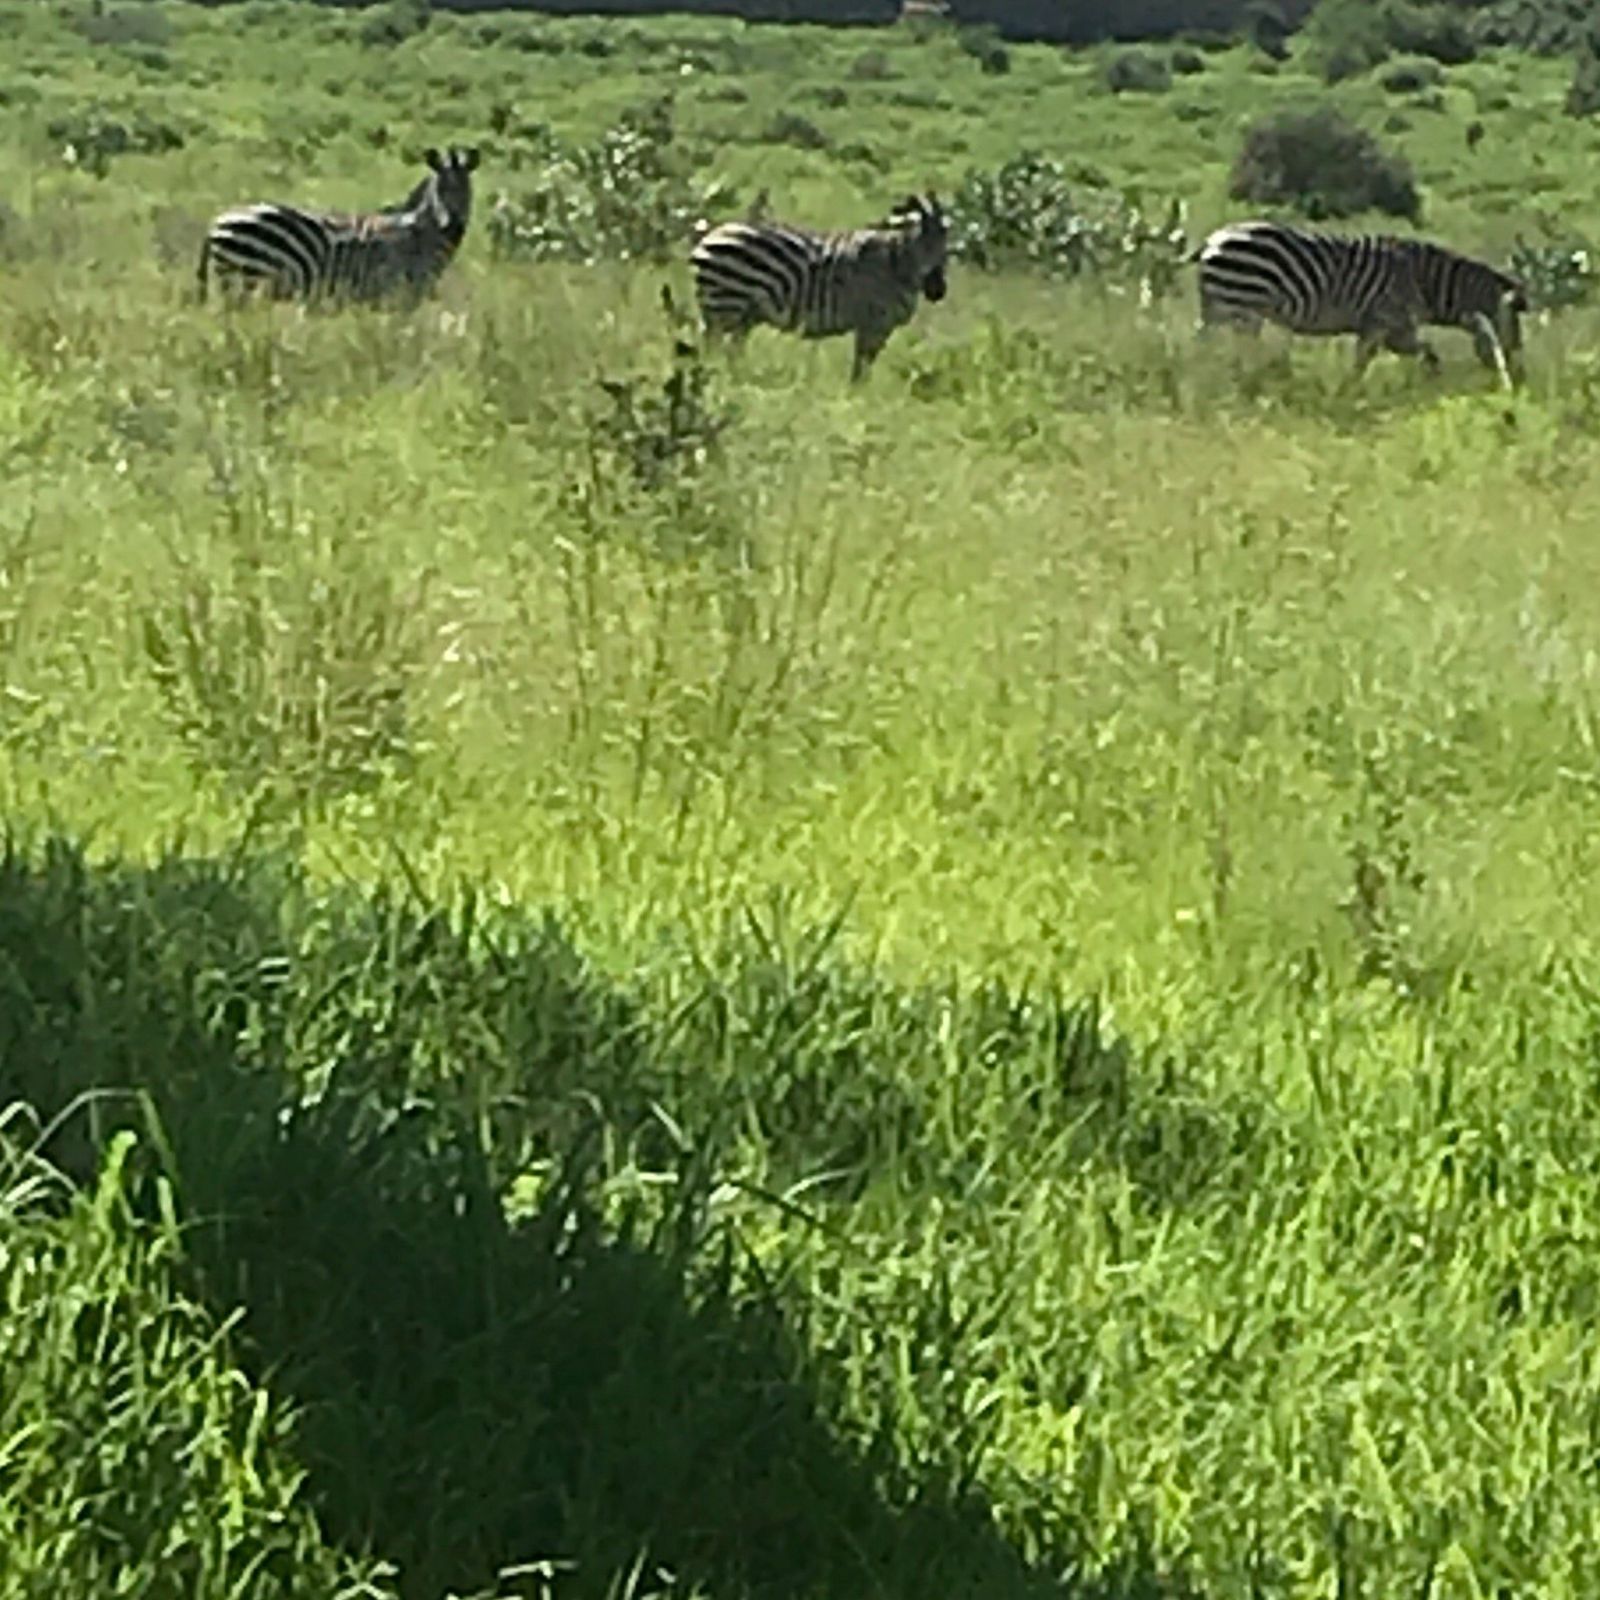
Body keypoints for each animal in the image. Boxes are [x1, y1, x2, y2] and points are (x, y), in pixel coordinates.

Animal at [197, 146, 480, 307]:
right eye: (440, 189)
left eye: (466, 189)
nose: (453, 222)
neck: (421, 234)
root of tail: (216, 222)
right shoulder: (395, 294)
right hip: (247, 278)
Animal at [689, 193, 948, 381]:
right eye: (925, 245)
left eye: (947, 247)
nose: (938, 291)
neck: (897, 264)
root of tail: (711, 233)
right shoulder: (873, 322)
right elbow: (861, 368)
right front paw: (856, 400)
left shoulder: (879, 327)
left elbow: (864, 367)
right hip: (727, 303)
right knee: (713, 347)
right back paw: (714, 378)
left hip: (743, 313)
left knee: (730, 351)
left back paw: (736, 380)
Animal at [1193, 219, 1528, 388]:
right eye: (1514, 330)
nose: (1517, 378)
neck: (1423, 283)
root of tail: (1213, 240)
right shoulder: (1387, 321)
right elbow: (1378, 359)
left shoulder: (1389, 328)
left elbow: (1405, 355)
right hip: (1243, 306)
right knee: (1238, 350)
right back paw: (1246, 382)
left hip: (1220, 305)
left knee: (1203, 343)